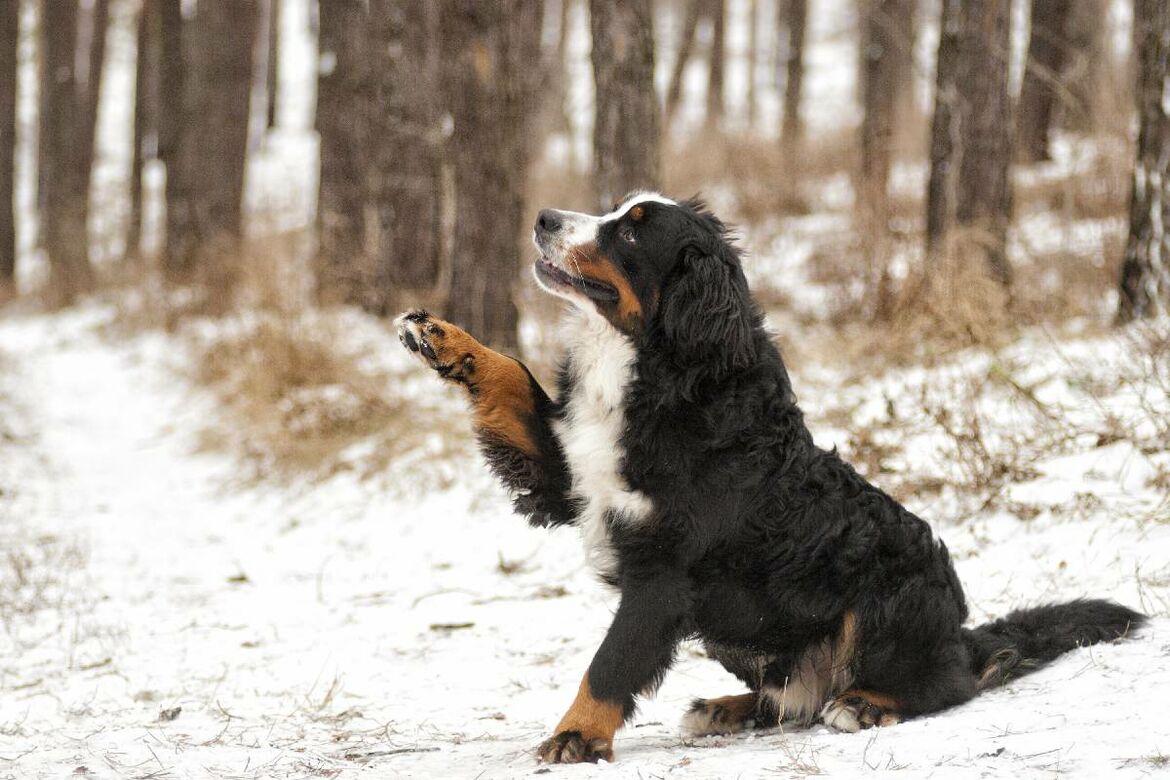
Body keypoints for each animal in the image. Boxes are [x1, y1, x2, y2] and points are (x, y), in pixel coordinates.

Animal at [393, 191, 1141, 767]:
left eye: (632, 227)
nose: (545, 217)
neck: (659, 365)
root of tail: (960, 630)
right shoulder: (569, 475)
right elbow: (510, 377)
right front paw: (443, 337)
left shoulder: (664, 572)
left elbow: (610, 663)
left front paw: (575, 737)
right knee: (792, 700)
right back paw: (727, 707)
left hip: (888, 597)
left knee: (948, 683)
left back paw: (865, 704)